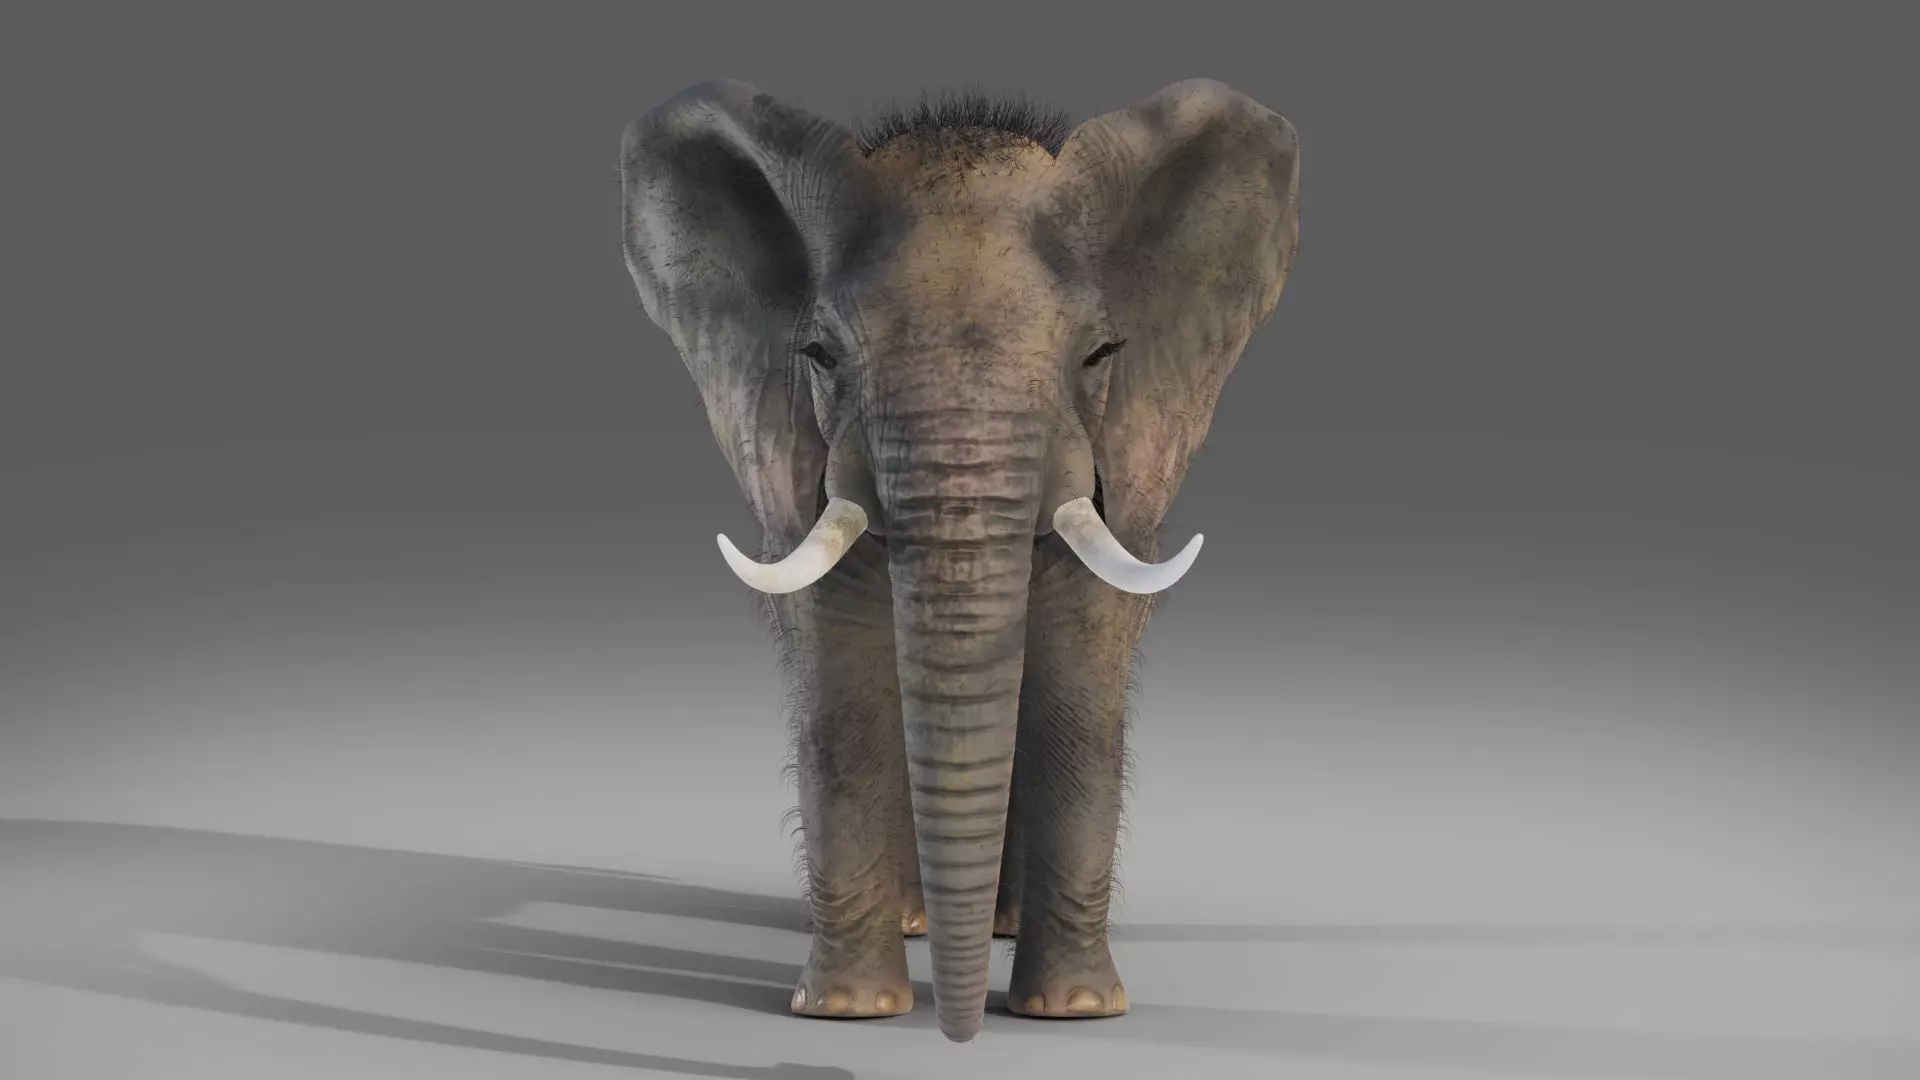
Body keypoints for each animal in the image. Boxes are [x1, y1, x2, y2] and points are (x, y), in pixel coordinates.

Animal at [619, 78, 1300, 1043]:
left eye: (1100, 355)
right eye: (819, 356)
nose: (961, 1031)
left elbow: (1078, 692)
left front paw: (1075, 1013)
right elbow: (843, 698)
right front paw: (848, 1014)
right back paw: (915, 925)